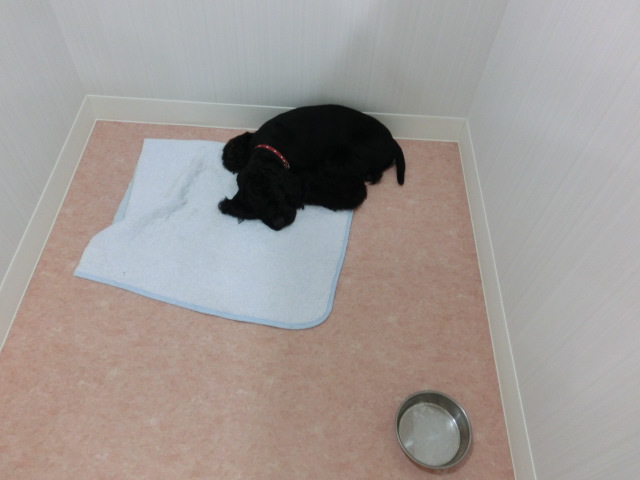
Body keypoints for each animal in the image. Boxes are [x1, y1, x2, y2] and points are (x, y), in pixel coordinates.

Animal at [218, 104, 405, 230]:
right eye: (258, 206)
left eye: (277, 194)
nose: (279, 223)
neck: (267, 150)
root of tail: (392, 141)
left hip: (342, 158)